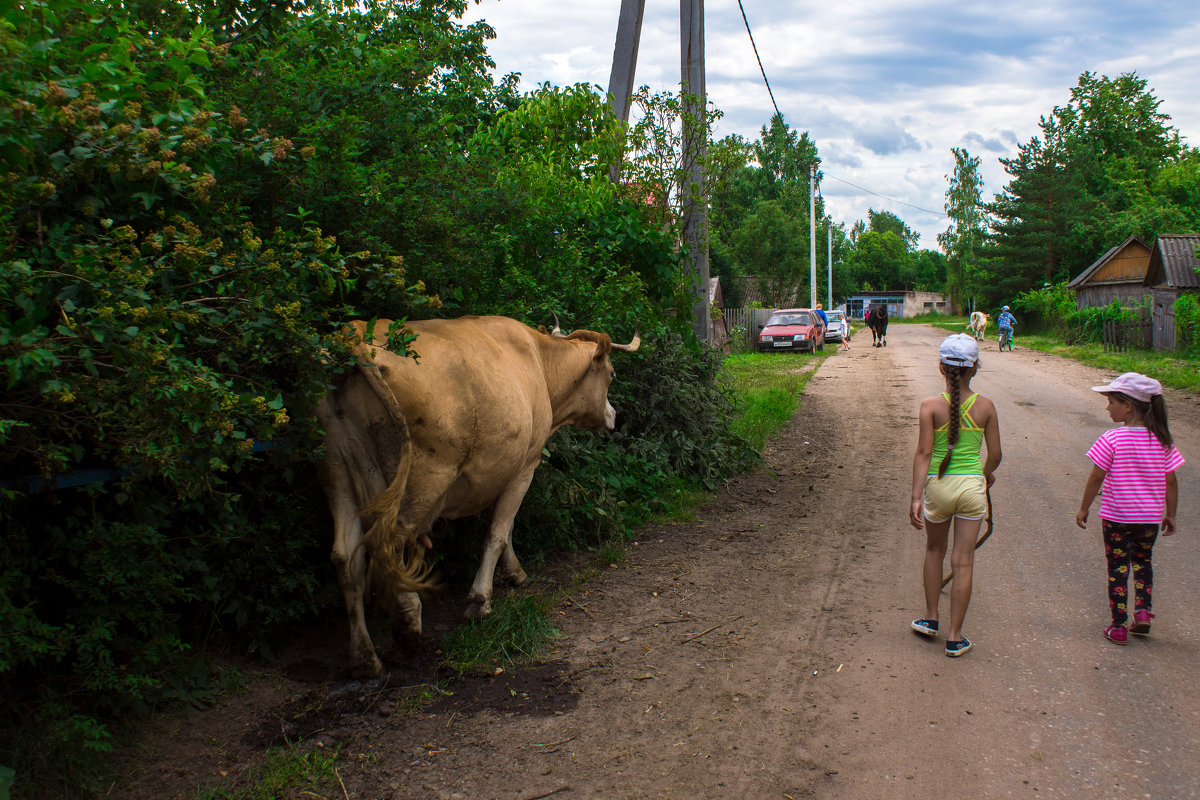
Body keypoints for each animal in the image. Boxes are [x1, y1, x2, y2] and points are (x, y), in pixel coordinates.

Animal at [316, 311, 638, 676]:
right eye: (611, 374)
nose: (613, 416)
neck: (540, 363)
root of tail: (353, 338)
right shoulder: (525, 465)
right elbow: (498, 532)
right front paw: (480, 600)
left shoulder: (499, 470)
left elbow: (504, 528)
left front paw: (515, 573)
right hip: (423, 478)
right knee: (389, 545)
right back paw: (409, 623)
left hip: (337, 470)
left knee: (345, 558)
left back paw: (364, 657)